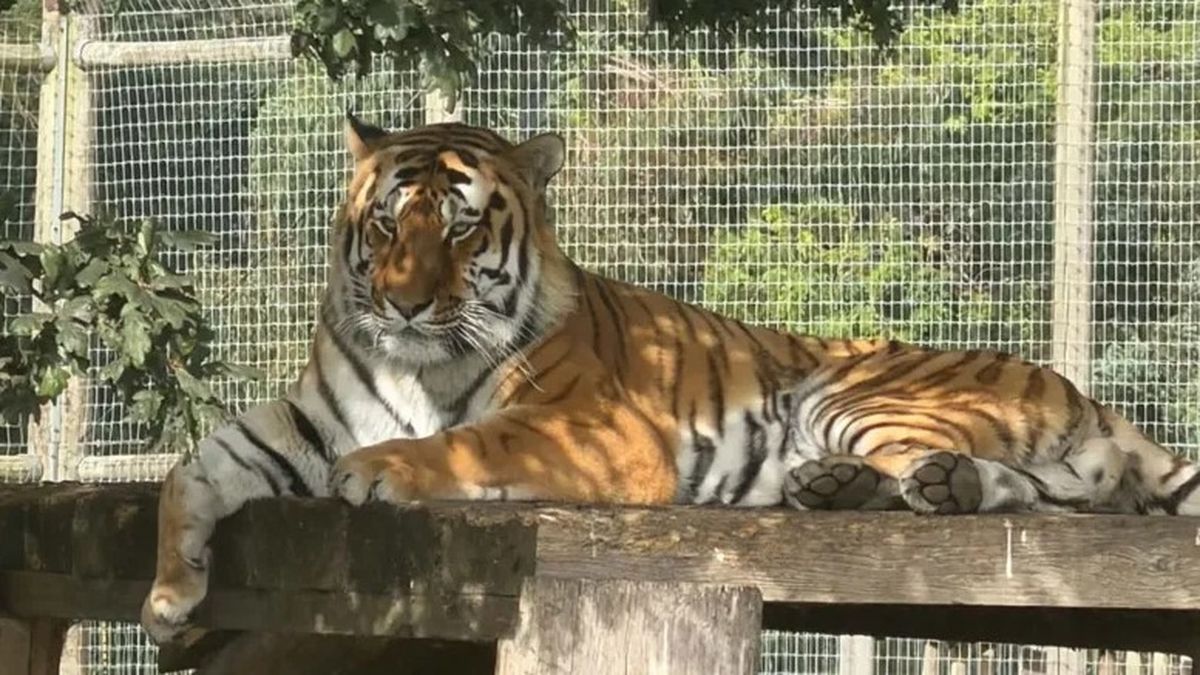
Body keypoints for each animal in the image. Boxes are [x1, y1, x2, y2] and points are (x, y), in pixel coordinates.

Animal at [140, 114, 1200, 643]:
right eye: (388, 223)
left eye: (464, 228)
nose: (401, 304)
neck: (411, 359)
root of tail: (1081, 390)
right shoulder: (303, 417)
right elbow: (192, 467)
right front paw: (168, 597)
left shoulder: (596, 430)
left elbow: (466, 440)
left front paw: (383, 468)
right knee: (1050, 495)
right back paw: (847, 488)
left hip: (851, 391)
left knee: (1014, 491)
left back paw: (909, 485)